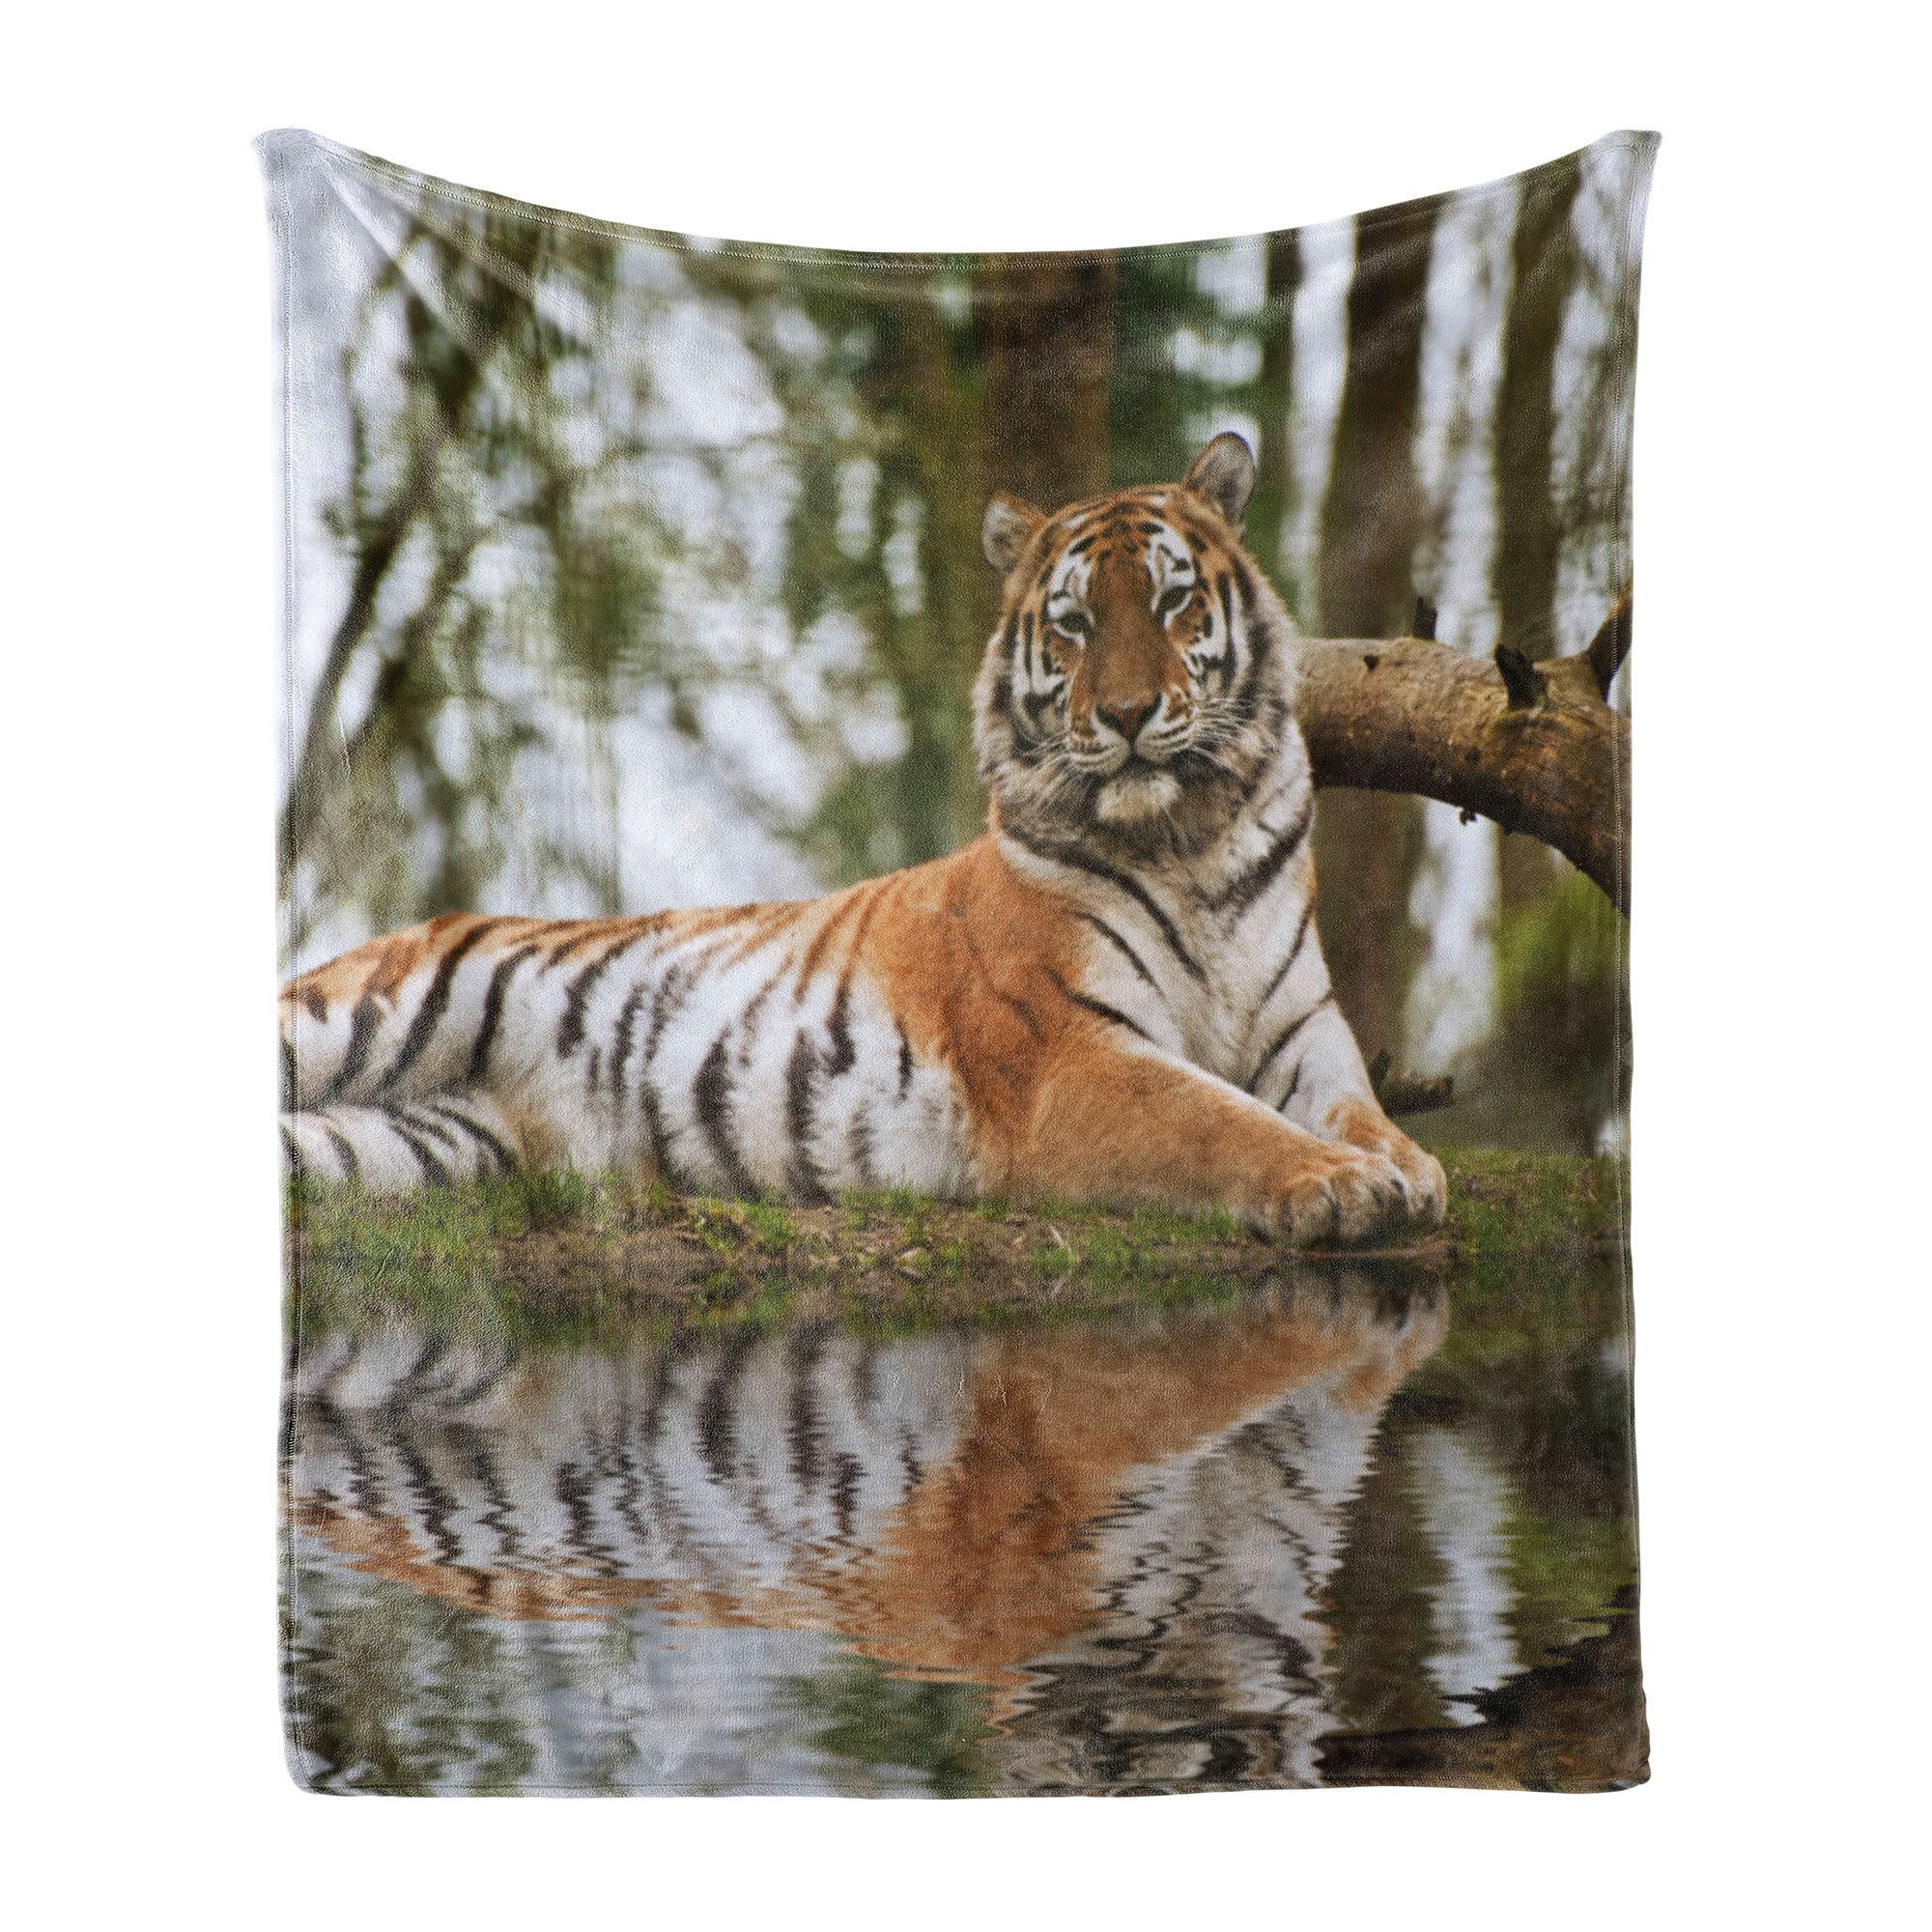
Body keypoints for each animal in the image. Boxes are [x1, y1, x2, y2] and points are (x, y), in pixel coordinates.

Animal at [280, 433, 1445, 1245]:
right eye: (1073, 623)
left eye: (1170, 601)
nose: (1122, 714)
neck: (1188, 839)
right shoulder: (1073, 1057)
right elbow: (1219, 1120)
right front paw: (1338, 1184)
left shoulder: (1303, 1034)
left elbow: (1361, 1110)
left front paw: (1407, 1170)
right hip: (363, 1015)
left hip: (409, 1149)